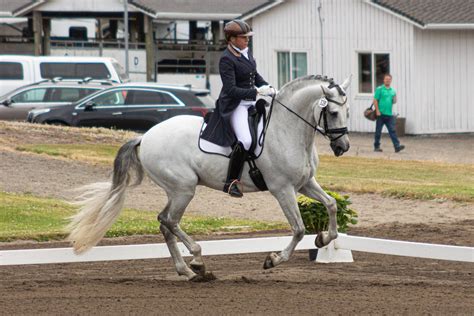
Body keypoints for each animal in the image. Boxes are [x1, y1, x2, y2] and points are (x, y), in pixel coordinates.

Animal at [66, 74, 350, 282]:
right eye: (333, 113)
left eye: (347, 112)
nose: (343, 147)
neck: (286, 131)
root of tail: (145, 136)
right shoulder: (282, 189)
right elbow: (299, 228)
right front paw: (273, 260)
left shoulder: (304, 184)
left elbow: (331, 204)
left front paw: (324, 239)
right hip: (184, 189)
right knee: (168, 220)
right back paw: (197, 260)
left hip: (176, 191)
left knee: (165, 223)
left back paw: (188, 271)